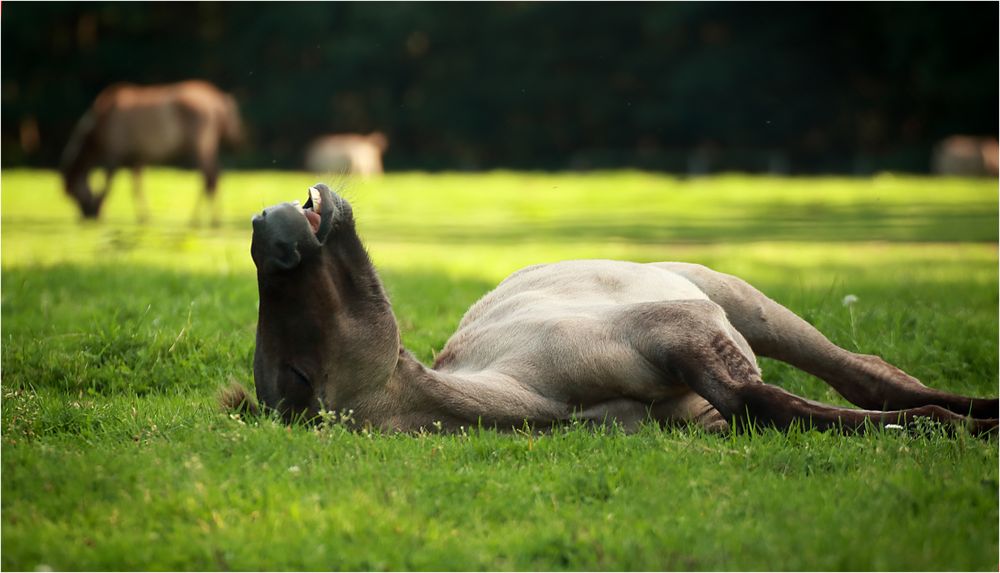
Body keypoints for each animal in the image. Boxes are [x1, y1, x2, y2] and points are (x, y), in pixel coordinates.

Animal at [61, 81, 243, 225]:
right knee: (214, 177)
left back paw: (198, 218)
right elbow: (137, 188)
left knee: (208, 178)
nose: (87, 216)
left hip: (199, 144)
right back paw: (212, 219)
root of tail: (219, 102)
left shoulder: (114, 153)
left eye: (74, 195)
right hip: (207, 145)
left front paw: (103, 210)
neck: (98, 129)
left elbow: (108, 185)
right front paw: (144, 217)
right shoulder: (137, 158)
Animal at [223, 185, 996, 436]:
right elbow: (764, 405)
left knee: (865, 371)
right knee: (867, 380)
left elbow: (772, 399)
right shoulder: (699, 387)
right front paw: (941, 432)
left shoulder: (687, 330)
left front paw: (951, 428)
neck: (546, 398)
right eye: (297, 373)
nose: (266, 226)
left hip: (742, 300)